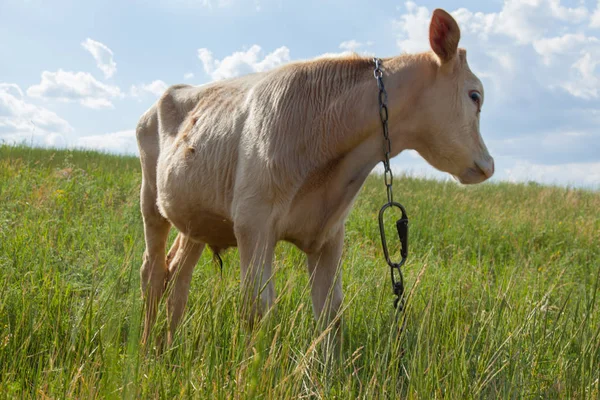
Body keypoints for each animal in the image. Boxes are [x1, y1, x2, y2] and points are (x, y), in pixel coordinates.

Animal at [136, 9, 492, 346]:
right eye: (475, 96)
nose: (489, 165)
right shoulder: (253, 223)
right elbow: (258, 309)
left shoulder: (330, 232)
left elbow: (330, 314)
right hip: (151, 202)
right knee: (152, 271)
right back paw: (146, 351)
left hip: (195, 216)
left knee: (178, 274)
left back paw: (168, 348)